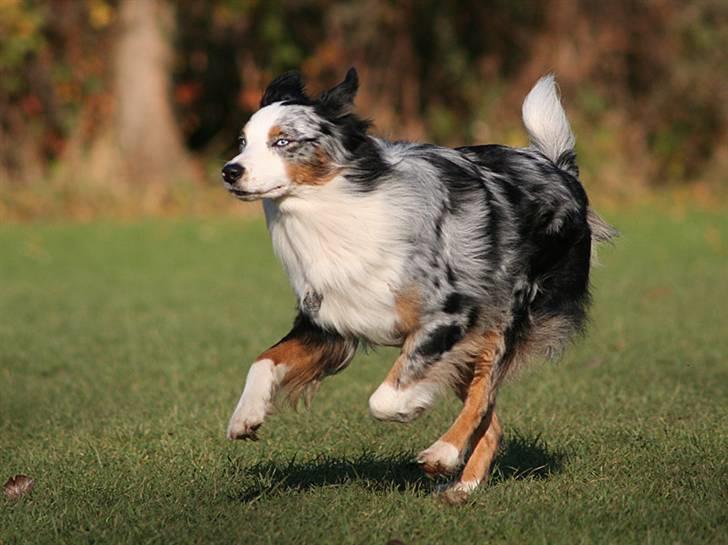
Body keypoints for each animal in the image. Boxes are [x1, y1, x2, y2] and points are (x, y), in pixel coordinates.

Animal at [220, 68, 616, 502]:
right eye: (243, 142)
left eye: (283, 141)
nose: (230, 171)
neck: (334, 207)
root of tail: (558, 169)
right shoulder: (330, 321)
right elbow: (263, 361)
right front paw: (246, 416)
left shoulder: (451, 316)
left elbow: (384, 398)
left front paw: (413, 404)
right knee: (493, 423)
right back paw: (463, 488)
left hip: (502, 316)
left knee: (482, 397)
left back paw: (443, 454)